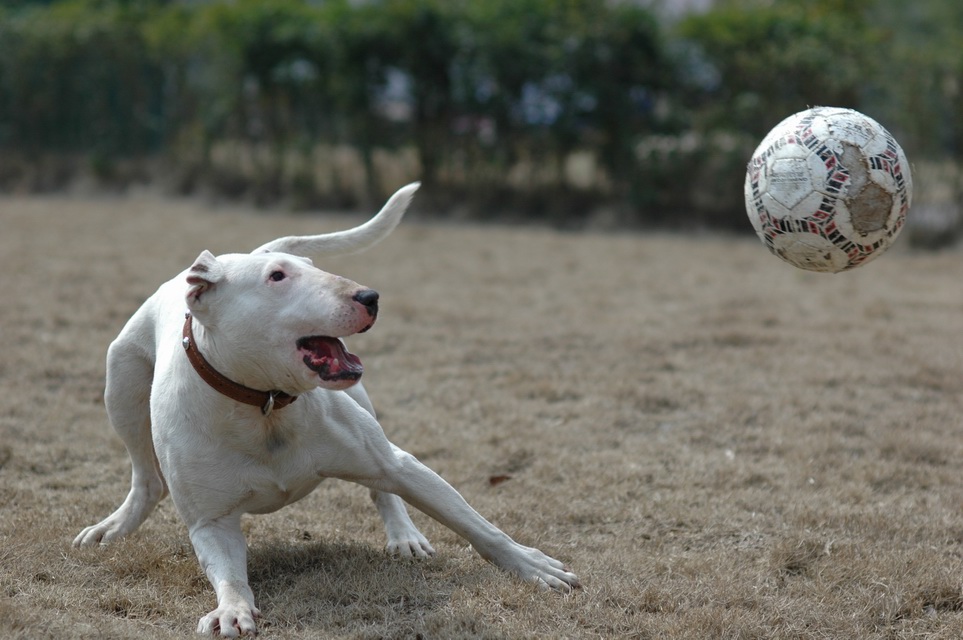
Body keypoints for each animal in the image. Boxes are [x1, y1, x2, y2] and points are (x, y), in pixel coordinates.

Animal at [77, 182, 580, 636]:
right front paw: (231, 611)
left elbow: (476, 525)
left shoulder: (395, 462)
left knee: (384, 489)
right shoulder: (211, 523)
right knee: (147, 478)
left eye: (313, 268)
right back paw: (114, 526)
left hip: (365, 414)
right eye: (277, 277)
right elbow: (230, 577)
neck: (266, 405)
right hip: (121, 384)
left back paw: (404, 536)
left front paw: (530, 564)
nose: (369, 297)